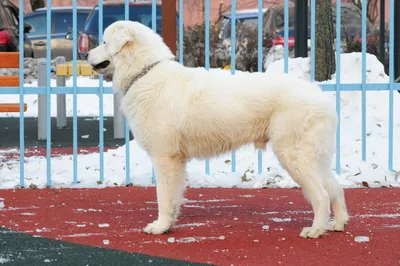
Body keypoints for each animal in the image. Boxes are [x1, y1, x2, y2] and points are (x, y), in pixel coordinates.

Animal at [86, 19, 346, 238]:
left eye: (104, 42)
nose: (85, 53)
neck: (145, 72)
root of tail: (322, 98)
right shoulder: (176, 160)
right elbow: (174, 196)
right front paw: (169, 223)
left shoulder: (164, 157)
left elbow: (162, 196)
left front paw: (160, 227)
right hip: (315, 156)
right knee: (335, 187)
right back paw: (339, 223)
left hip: (293, 155)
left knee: (322, 195)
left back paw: (315, 230)